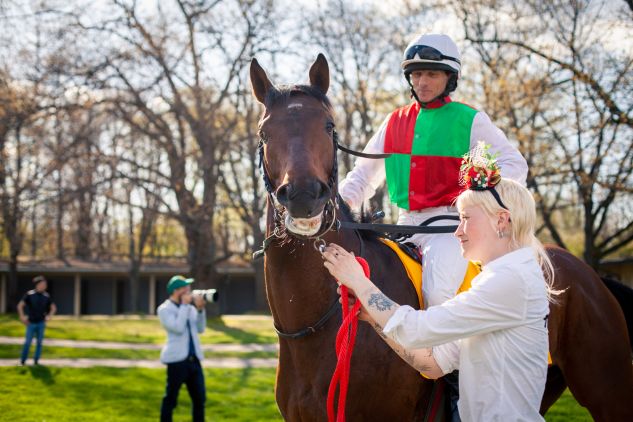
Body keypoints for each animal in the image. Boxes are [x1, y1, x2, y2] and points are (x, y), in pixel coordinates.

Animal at [251, 54, 632, 420]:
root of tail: (589, 274)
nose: (304, 196)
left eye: (328, 126)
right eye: (264, 133)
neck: (315, 327)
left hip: (607, 389)